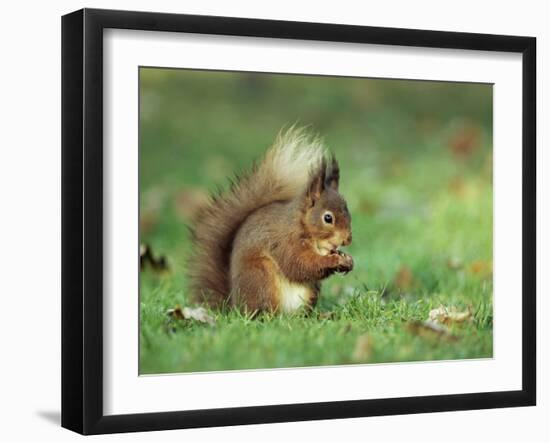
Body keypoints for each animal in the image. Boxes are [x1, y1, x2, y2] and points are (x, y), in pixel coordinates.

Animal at [189, 128, 354, 314]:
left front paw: (347, 259)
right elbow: (300, 264)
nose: (347, 239)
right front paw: (335, 261)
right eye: (328, 218)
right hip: (262, 277)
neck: (301, 224)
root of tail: (235, 306)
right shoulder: (285, 242)